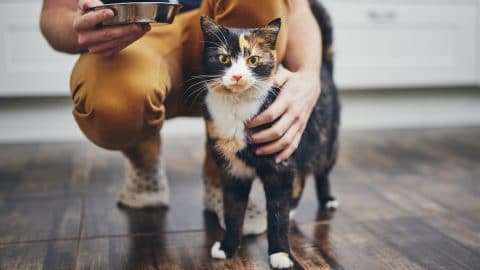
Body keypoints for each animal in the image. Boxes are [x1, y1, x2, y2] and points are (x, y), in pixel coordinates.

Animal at [198, 1, 338, 268]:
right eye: (223, 58)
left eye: (253, 60)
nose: (238, 75)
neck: (236, 108)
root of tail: (323, 67)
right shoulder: (232, 170)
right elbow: (232, 212)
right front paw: (228, 247)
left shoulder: (279, 165)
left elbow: (276, 214)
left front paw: (280, 254)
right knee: (300, 178)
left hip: (326, 141)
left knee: (321, 171)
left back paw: (326, 198)